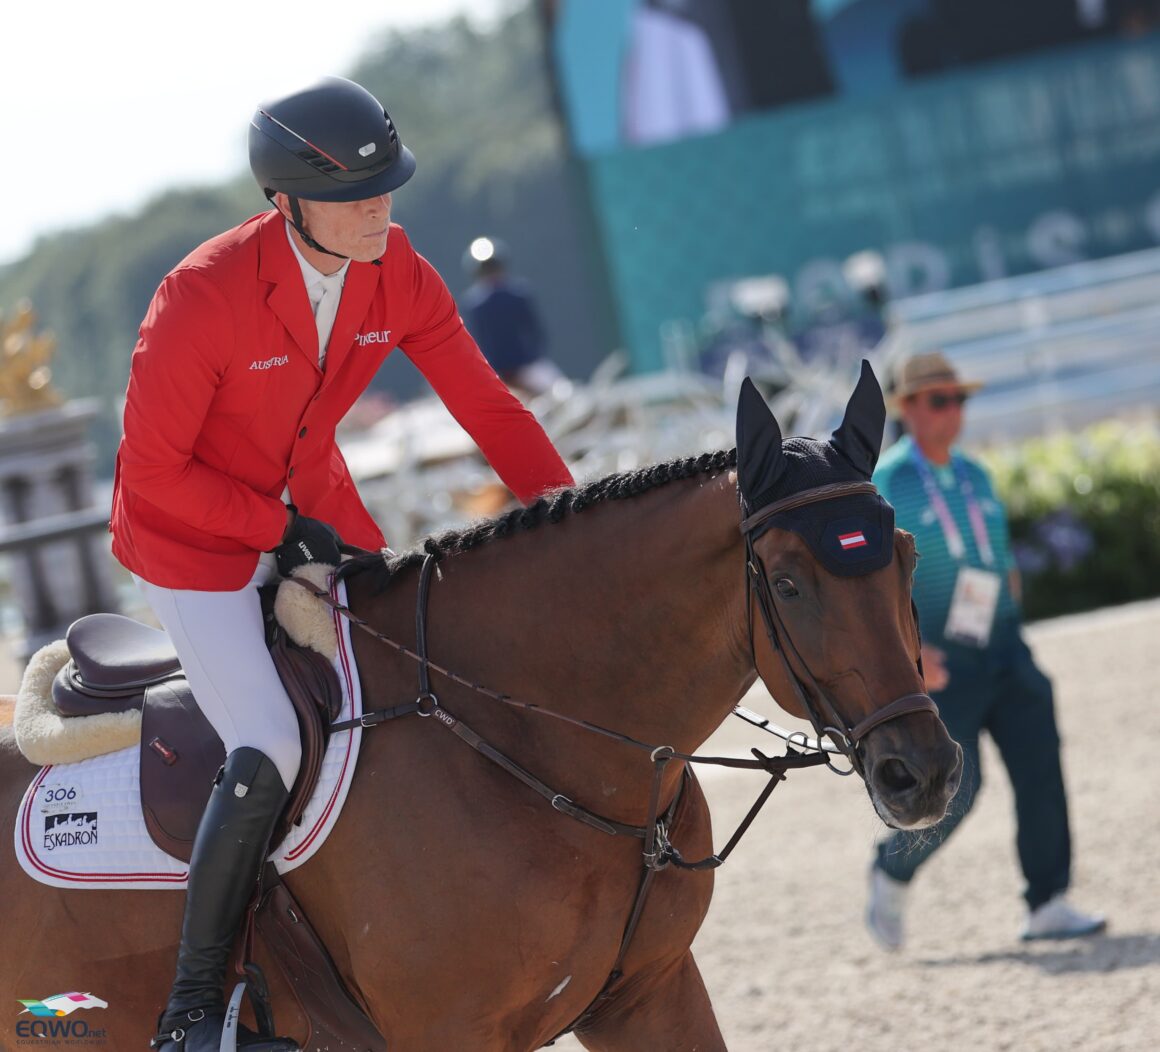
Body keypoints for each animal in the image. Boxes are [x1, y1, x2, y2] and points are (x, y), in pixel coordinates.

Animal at [0, 364, 960, 1052]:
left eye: (908, 555)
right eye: (790, 584)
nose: (924, 773)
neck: (527, 742)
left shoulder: (651, 994)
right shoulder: (450, 1030)